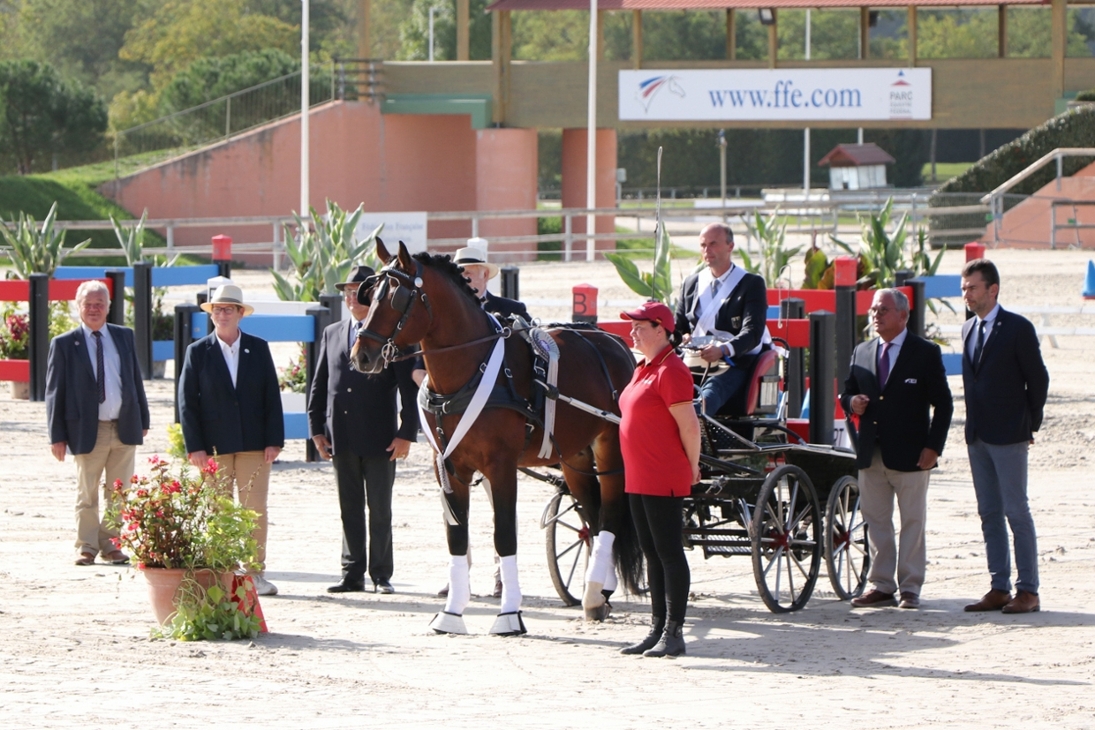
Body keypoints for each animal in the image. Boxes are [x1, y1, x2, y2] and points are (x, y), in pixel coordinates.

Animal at [350, 239, 639, 634]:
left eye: (395, 297)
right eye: (370, 293)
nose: (361, 356)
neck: (473, 369)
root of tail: (614, 342)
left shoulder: (501, 467)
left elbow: (504, 535)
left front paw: (509, 614)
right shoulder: (448, 467)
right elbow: (457, 537)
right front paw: (452, 613)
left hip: (610, 450)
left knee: (609, 515)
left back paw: (595, 590)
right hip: (575, 458)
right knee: (591, 518)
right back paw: (598, 593)